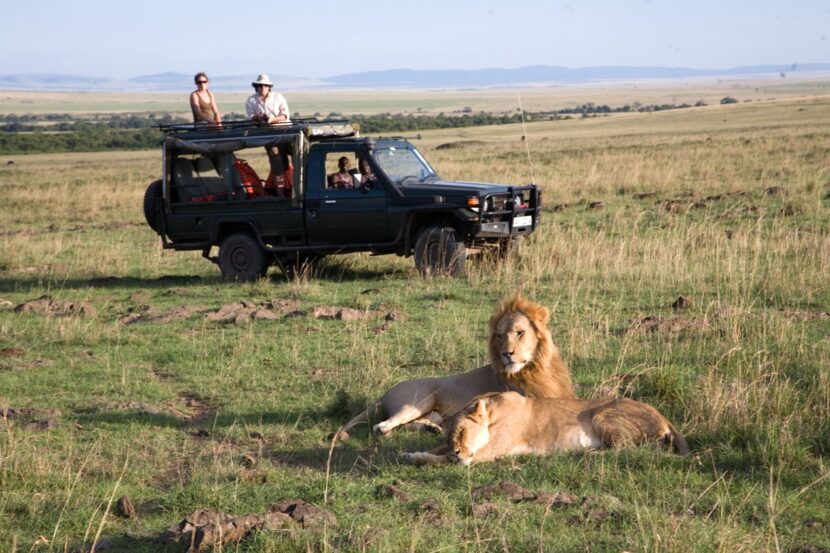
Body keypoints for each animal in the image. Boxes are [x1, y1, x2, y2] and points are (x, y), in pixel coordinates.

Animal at [336, 296, 572, 438]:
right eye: (499, 336)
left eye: (520, 332)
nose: (507, 354)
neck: (536, 368)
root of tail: (384, 395)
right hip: (419, 400)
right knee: (382, 425)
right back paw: (389, 430)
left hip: (432, 412)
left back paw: (431, 429)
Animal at [408, 390, 688, 464]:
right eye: (449, 436)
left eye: (463, 432)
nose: (457, 450)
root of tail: (664, 417)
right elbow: (438, 451)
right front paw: (412, 453)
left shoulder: (488, 452)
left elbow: (442, 460)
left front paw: (416, 457)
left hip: (601, 415)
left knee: (624, 449)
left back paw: (586, 453)